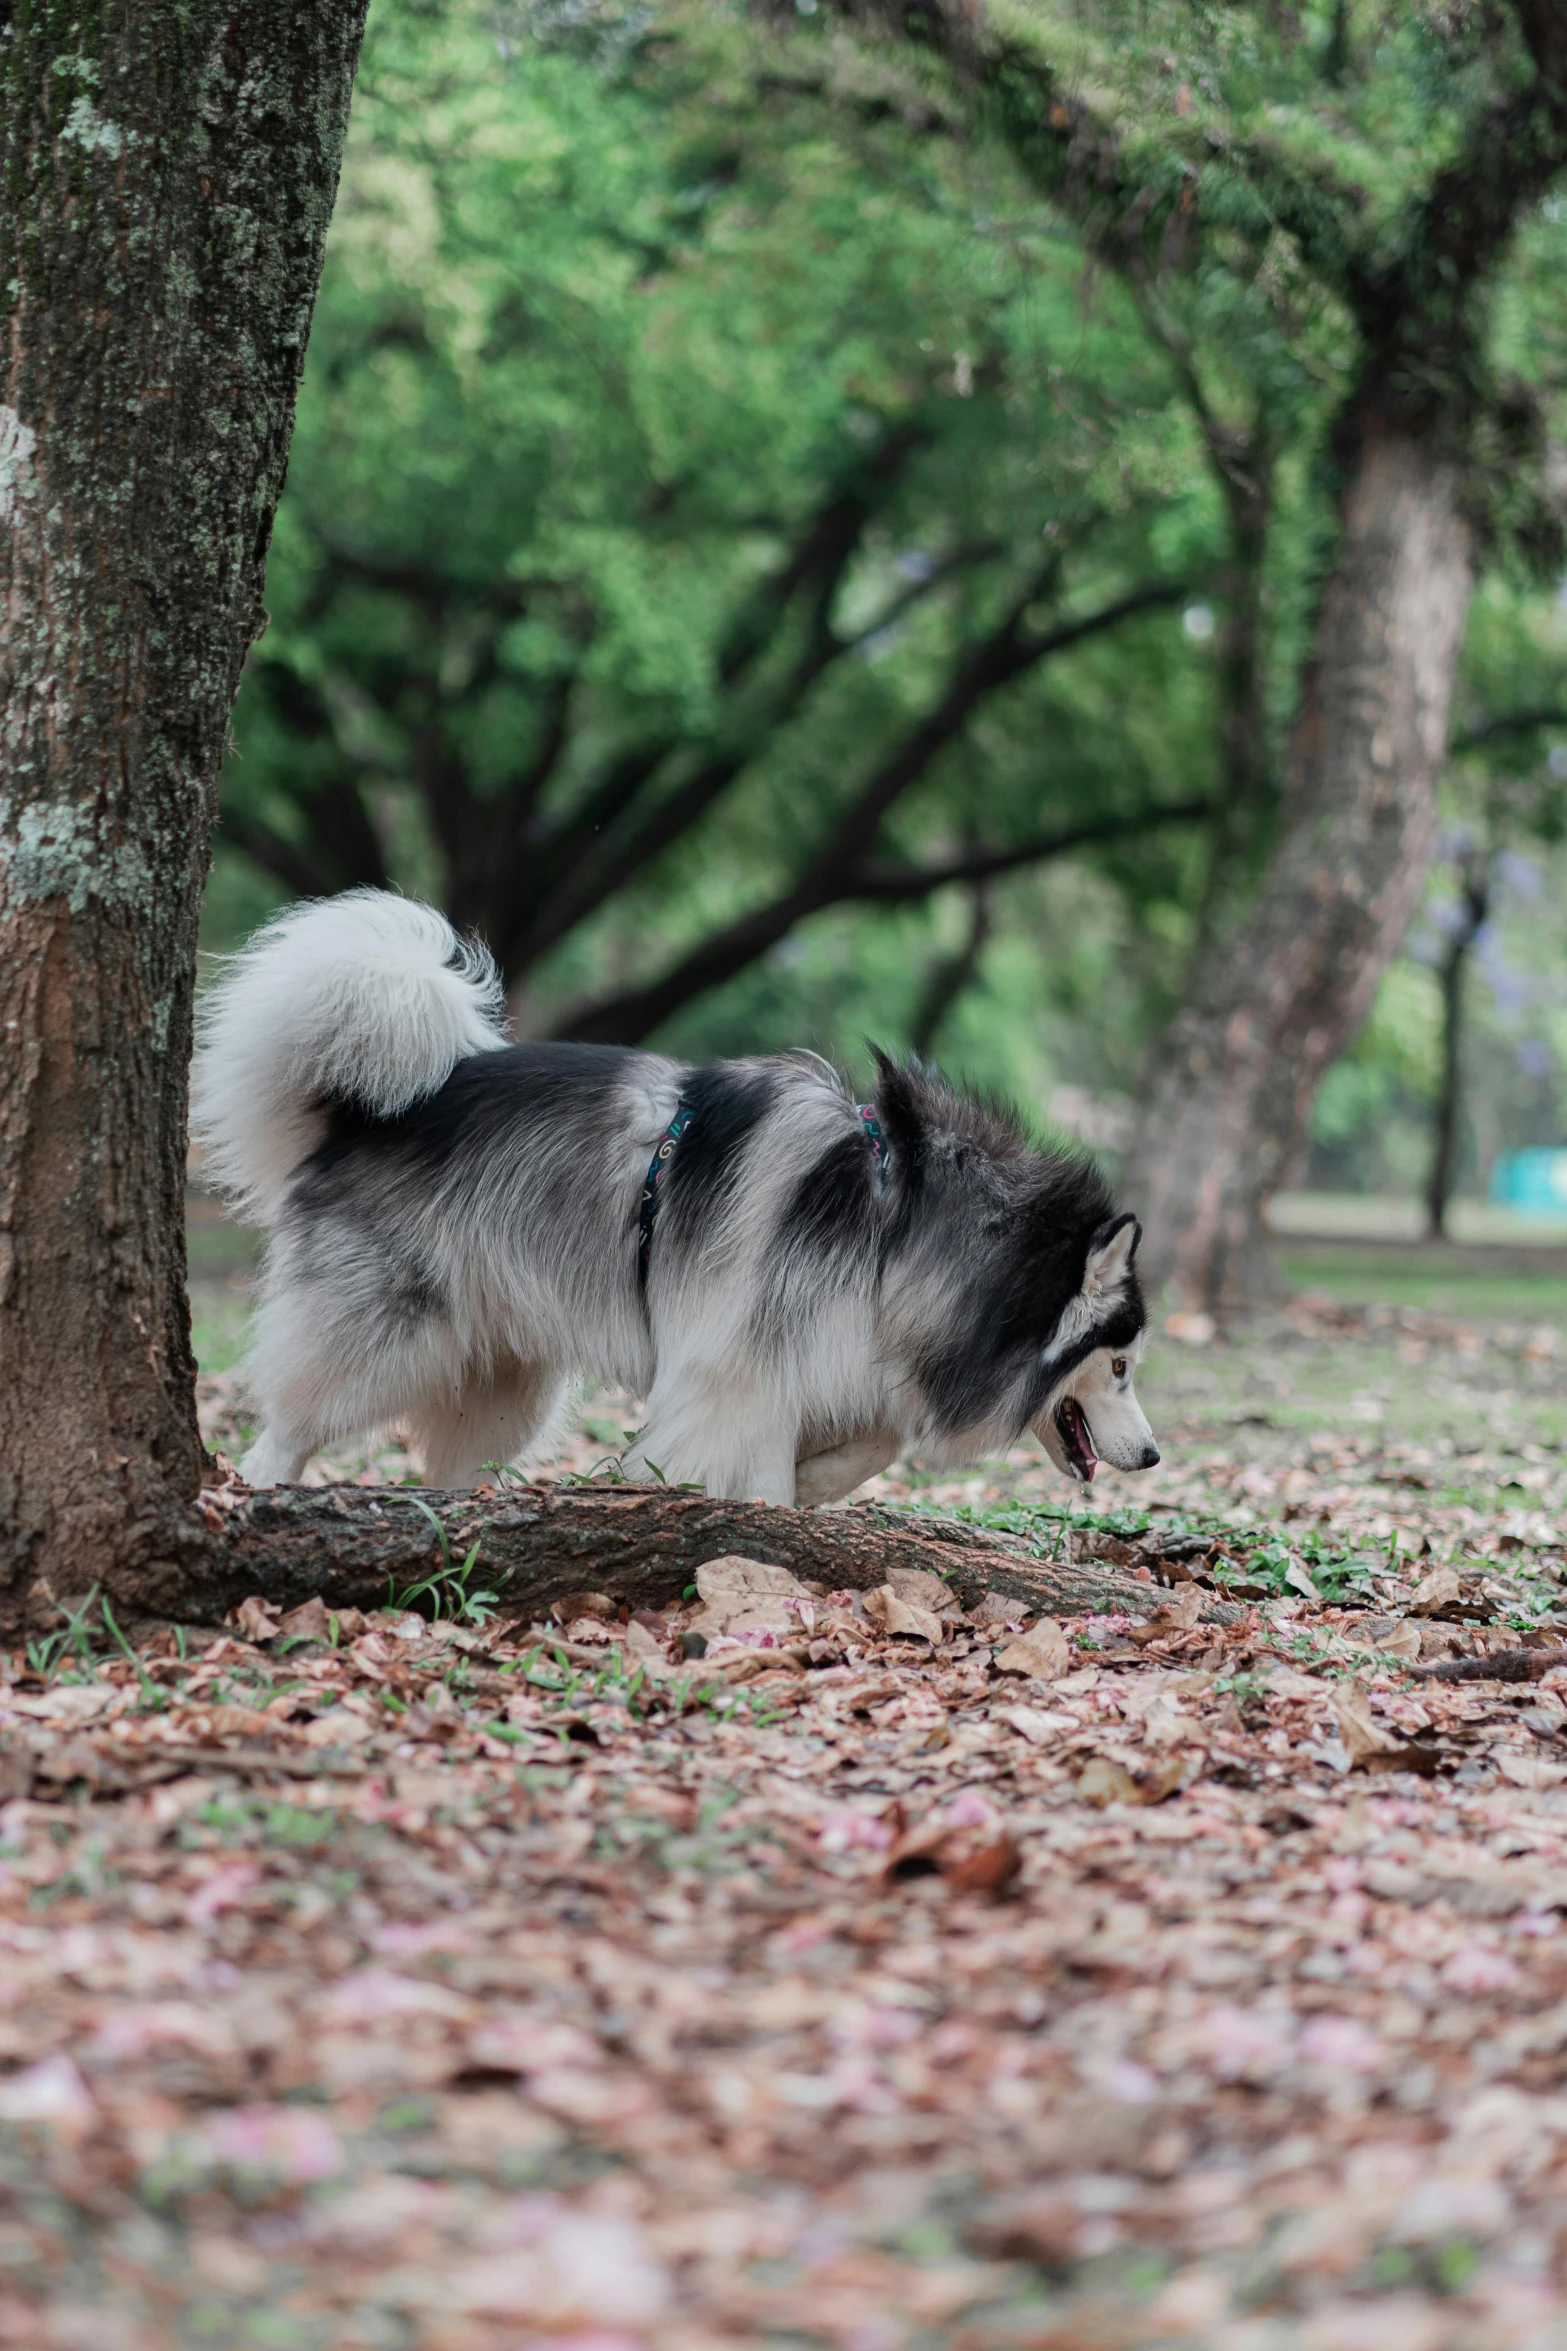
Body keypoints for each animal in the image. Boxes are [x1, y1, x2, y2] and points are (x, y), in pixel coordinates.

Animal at [190, 888, 1160, 1495]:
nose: (1153, 1455)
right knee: (291, 1425)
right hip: (385, 1339)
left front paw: (816, 1482)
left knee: (456, 1460)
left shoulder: (843, 1359)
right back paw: (265, 1489)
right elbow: (757, 1470)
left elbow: (871, 1442)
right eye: (1118, 1365)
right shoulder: (737, 1372)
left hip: (506, 1378)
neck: (902, 1230)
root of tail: (356, 1120)